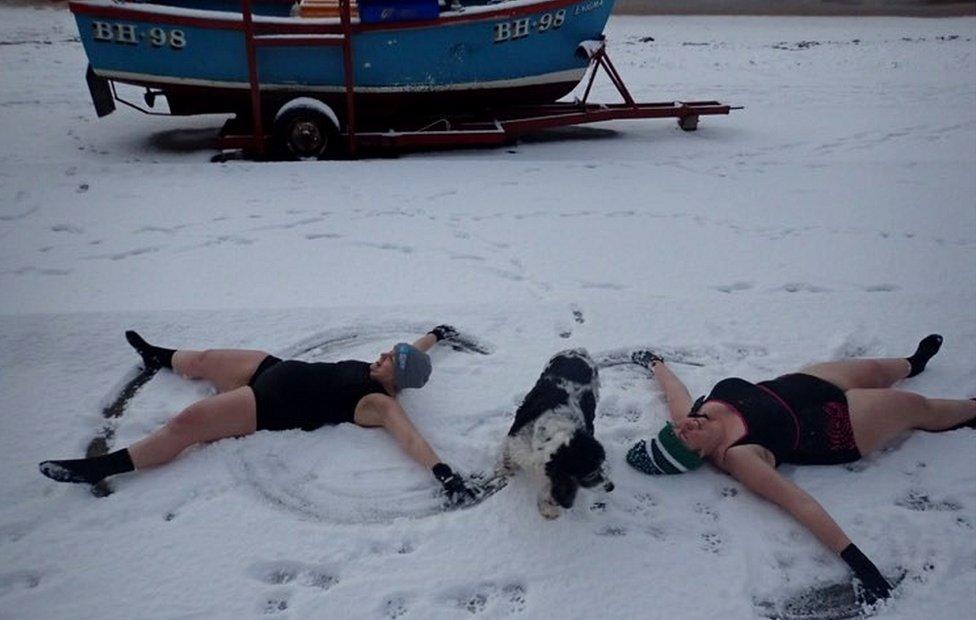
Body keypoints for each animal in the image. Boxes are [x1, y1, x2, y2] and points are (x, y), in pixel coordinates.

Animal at [500, 348, 612, 520]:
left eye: (601, 464)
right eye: (590, 474)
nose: (610, 487)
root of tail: (577, 351)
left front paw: (547, 508)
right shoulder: (515, 441)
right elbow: (508, 455)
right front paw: (506, 470)